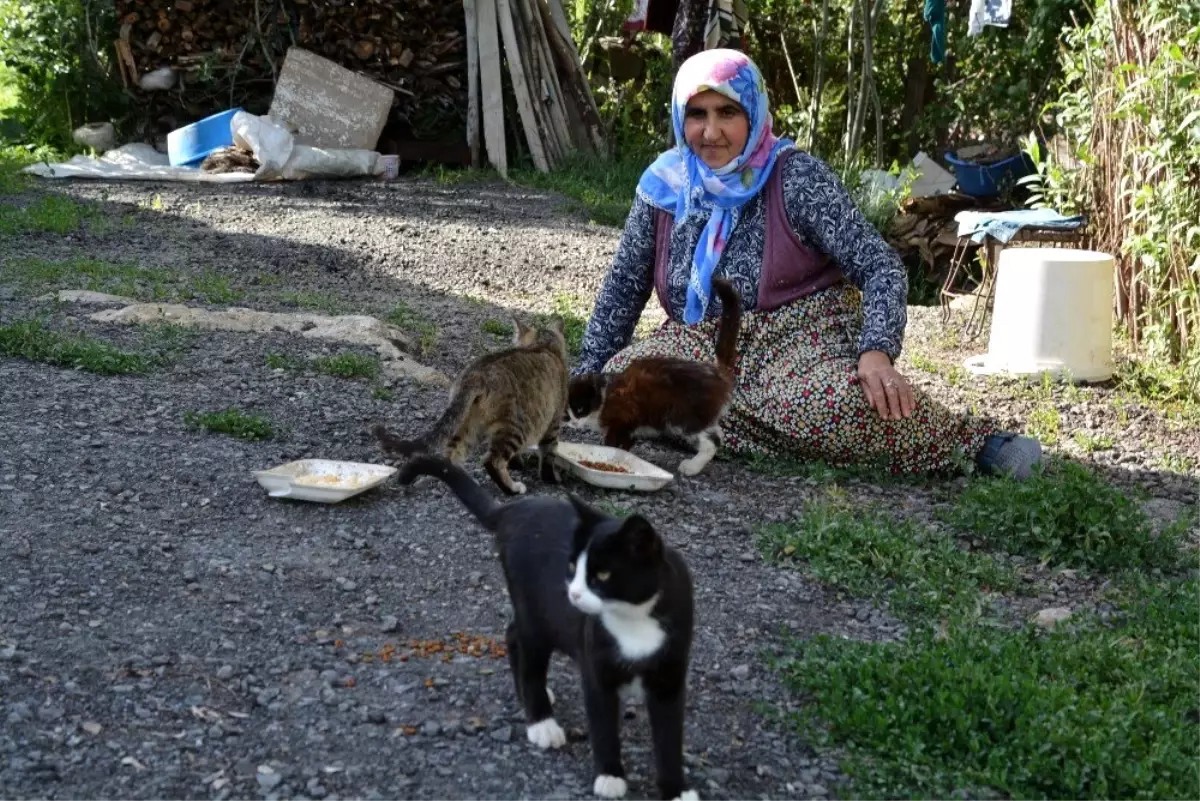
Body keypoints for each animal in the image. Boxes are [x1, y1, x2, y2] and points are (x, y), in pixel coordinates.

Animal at [564, 276, 739, 474]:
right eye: (566, 415)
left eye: (579, 409)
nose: (573, 423)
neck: (603, 396)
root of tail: (717, 372)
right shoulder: (629, 427)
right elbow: (625, 443)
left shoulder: (623, 416)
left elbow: (613, 441)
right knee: (718, 433)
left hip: (684, 415)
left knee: (712, 440)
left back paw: (692, 466)